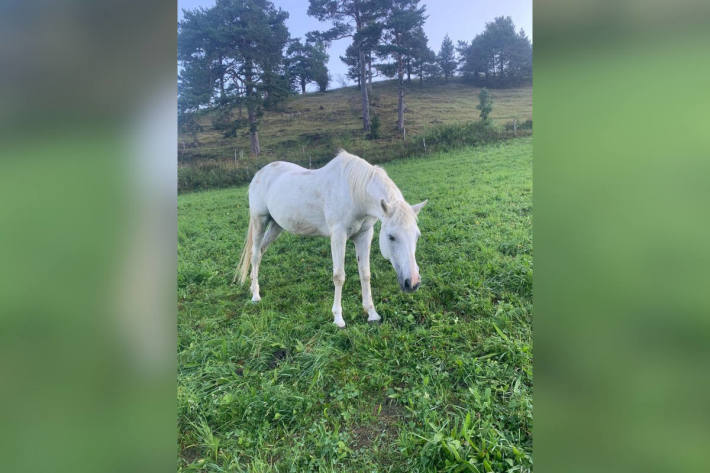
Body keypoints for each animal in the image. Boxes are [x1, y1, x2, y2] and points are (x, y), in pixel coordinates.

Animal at [234, 149, 426, 326]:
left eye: (417, 236)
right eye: (391, 237)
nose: (413, 283)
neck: (355, 192)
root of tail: (260, 173)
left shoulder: (364, 235)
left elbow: (365, 273)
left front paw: (372, 314)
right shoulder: (338, 235)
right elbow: (339, 276)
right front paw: (338, 318)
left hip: (276, 225)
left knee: (260, 252)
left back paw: (252, 287)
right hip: (260, 220)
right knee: (255, 255)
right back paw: (255, 296)